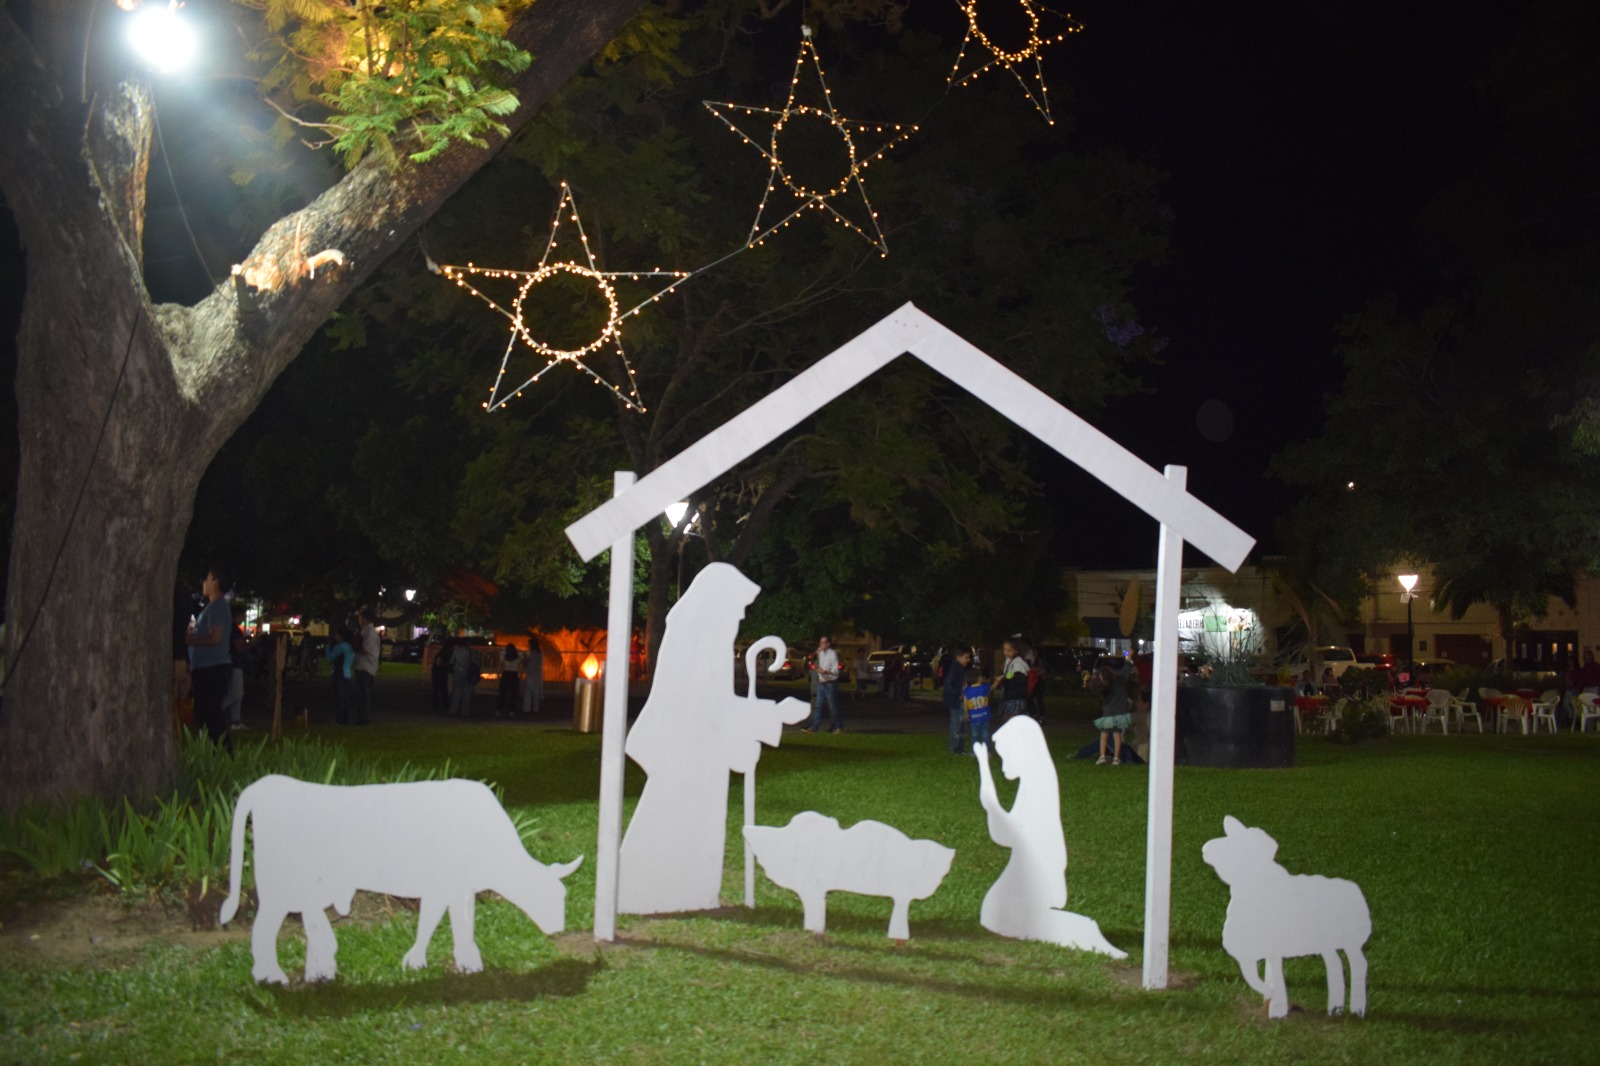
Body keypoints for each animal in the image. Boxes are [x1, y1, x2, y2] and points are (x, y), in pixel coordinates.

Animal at [217, 771, 582, 979]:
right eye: (553, 896)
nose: (559, 928)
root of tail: (266, 785)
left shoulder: (451, 887)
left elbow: (444, 922)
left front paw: (439, 962)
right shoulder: (451, 885)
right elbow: (446, 922)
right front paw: (453, 963)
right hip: (279, 890)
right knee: (263, 928)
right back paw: (271, 976)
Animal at [745, 809, 953, 934]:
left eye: (787, 829)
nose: (747, 829)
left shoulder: (813, 887)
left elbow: (814, 912)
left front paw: (812, 930)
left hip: (902, 892)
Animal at [1203, 813, 1369, 1011]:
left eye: (1239, 847)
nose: (1206, 848)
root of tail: (1356, 889)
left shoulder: (1271, 948)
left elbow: (1274, 977)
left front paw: (1277, 1006)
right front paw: (1272, 1000)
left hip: (1352, 943)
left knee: (1358, 965)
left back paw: (1356, 1010)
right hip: (1327, 944)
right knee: (1335, 965)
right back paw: (1335, 1010)